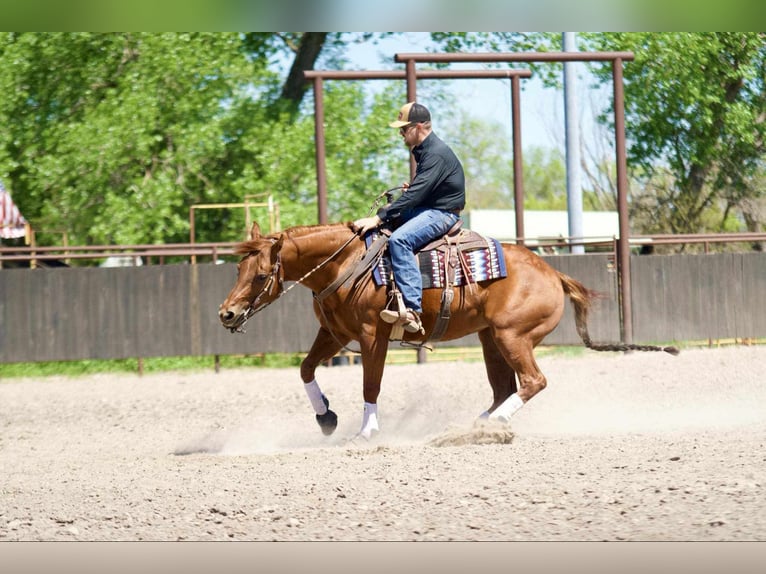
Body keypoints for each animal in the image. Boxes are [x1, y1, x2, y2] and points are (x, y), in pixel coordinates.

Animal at [218, 222, 680, 440]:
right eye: (238, 268)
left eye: (261, 275)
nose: (226, 313)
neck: (347, 264)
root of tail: (553, 273)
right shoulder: (333, 335)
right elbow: (305, 369)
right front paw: (326, 418)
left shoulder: (371, 336)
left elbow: (371, 385)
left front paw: (365, 431)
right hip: (491, 339)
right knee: (504, 388)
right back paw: (476, 425)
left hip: (513, 336)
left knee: (533, 381)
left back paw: (489, 427)